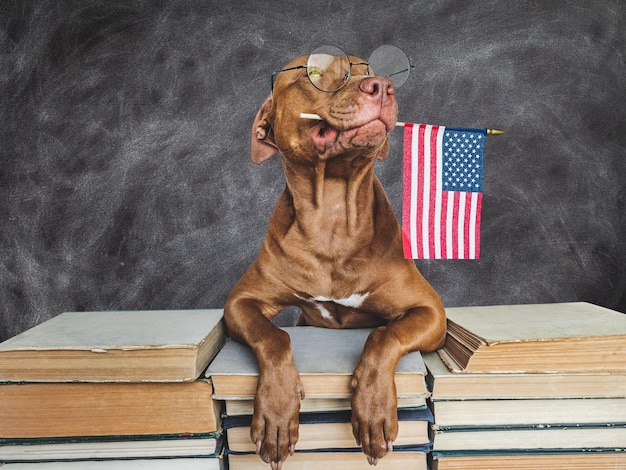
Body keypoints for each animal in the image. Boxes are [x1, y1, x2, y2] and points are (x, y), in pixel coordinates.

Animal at [223, 49, 444, 468]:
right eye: (313, 72)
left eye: (373, 71)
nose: (382, 87)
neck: (333, 215)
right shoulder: (241, 303)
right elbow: (274, 336)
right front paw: (277, 412)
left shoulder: (431, 312)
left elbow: (383, 334)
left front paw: (373, 408)